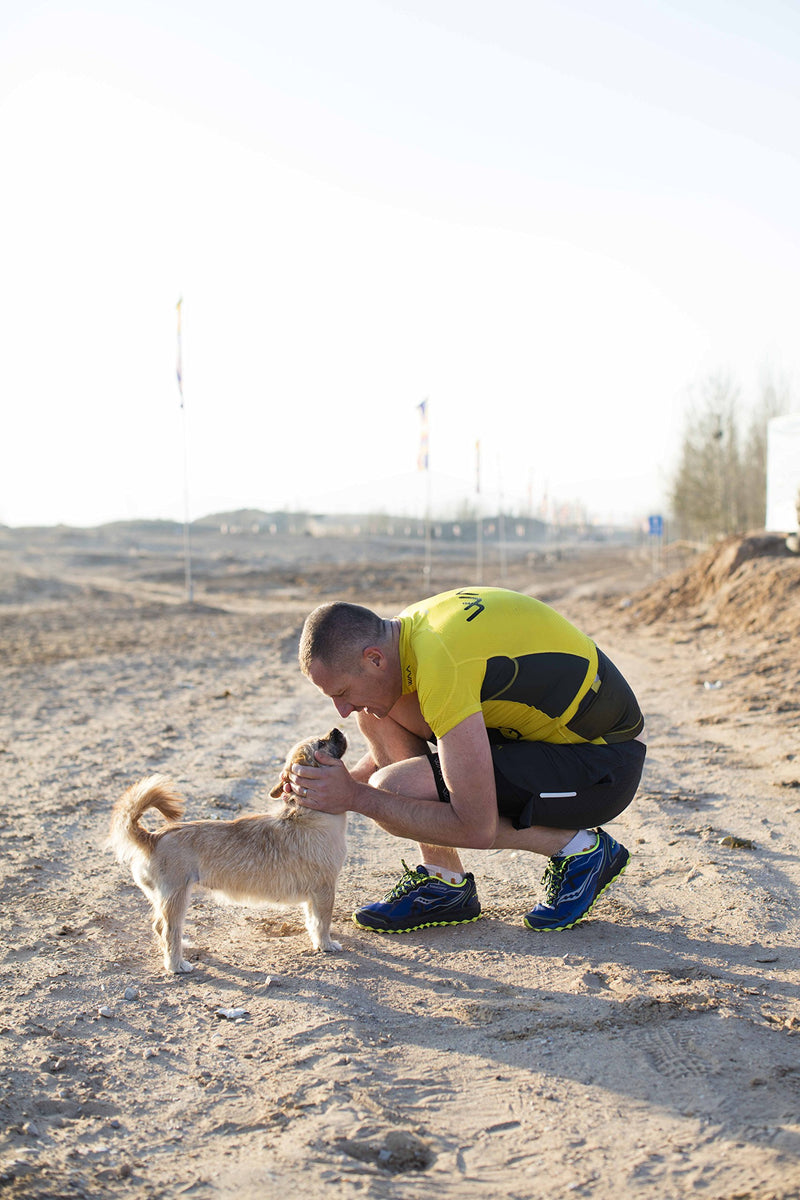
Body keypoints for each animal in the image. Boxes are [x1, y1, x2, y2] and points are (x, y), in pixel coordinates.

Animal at [109, 724, 347, 969]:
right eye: (321, 743)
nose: (336, 729)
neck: (305, 813)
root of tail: (153, 837)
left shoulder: (314, 894)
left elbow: (312, 920)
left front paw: (317, 941)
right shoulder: (324, 889)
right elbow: (323, 922)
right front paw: (326, 944)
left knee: (158, 926)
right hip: (176, 898)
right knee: (168, 931)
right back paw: (177, 965)